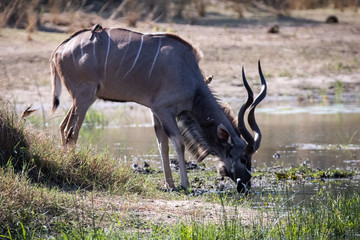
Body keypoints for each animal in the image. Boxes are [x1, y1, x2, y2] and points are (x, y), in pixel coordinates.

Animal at [50, 24, 268, 193]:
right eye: (243, 158)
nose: (245, 186)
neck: (192, 79)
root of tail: (59, 49)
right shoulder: (164, 110)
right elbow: (177, 142)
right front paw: (184, 184)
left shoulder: (155, 112)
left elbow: (162, 144)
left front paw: (169, 184)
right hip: (85, 98)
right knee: (71, 131)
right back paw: (71, 168)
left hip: (81, 99)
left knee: (62, 127)